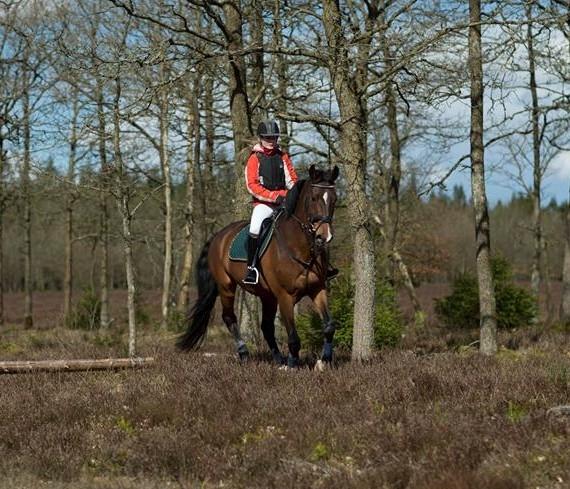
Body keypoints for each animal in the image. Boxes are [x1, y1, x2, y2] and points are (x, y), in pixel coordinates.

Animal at [176, 164, 338, 366]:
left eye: (334, 199)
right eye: (314, 198)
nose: (324, 236)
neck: (299, 247)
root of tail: (219, 236)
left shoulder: (317, 289)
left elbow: (329, 326)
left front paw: (324, 360)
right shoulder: (285, 296)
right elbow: (293, 337)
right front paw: (293, 365)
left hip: (266, 295)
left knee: (266, 327)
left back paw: (278, 358)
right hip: (226, 286)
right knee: (229, 317)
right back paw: (244, 353)